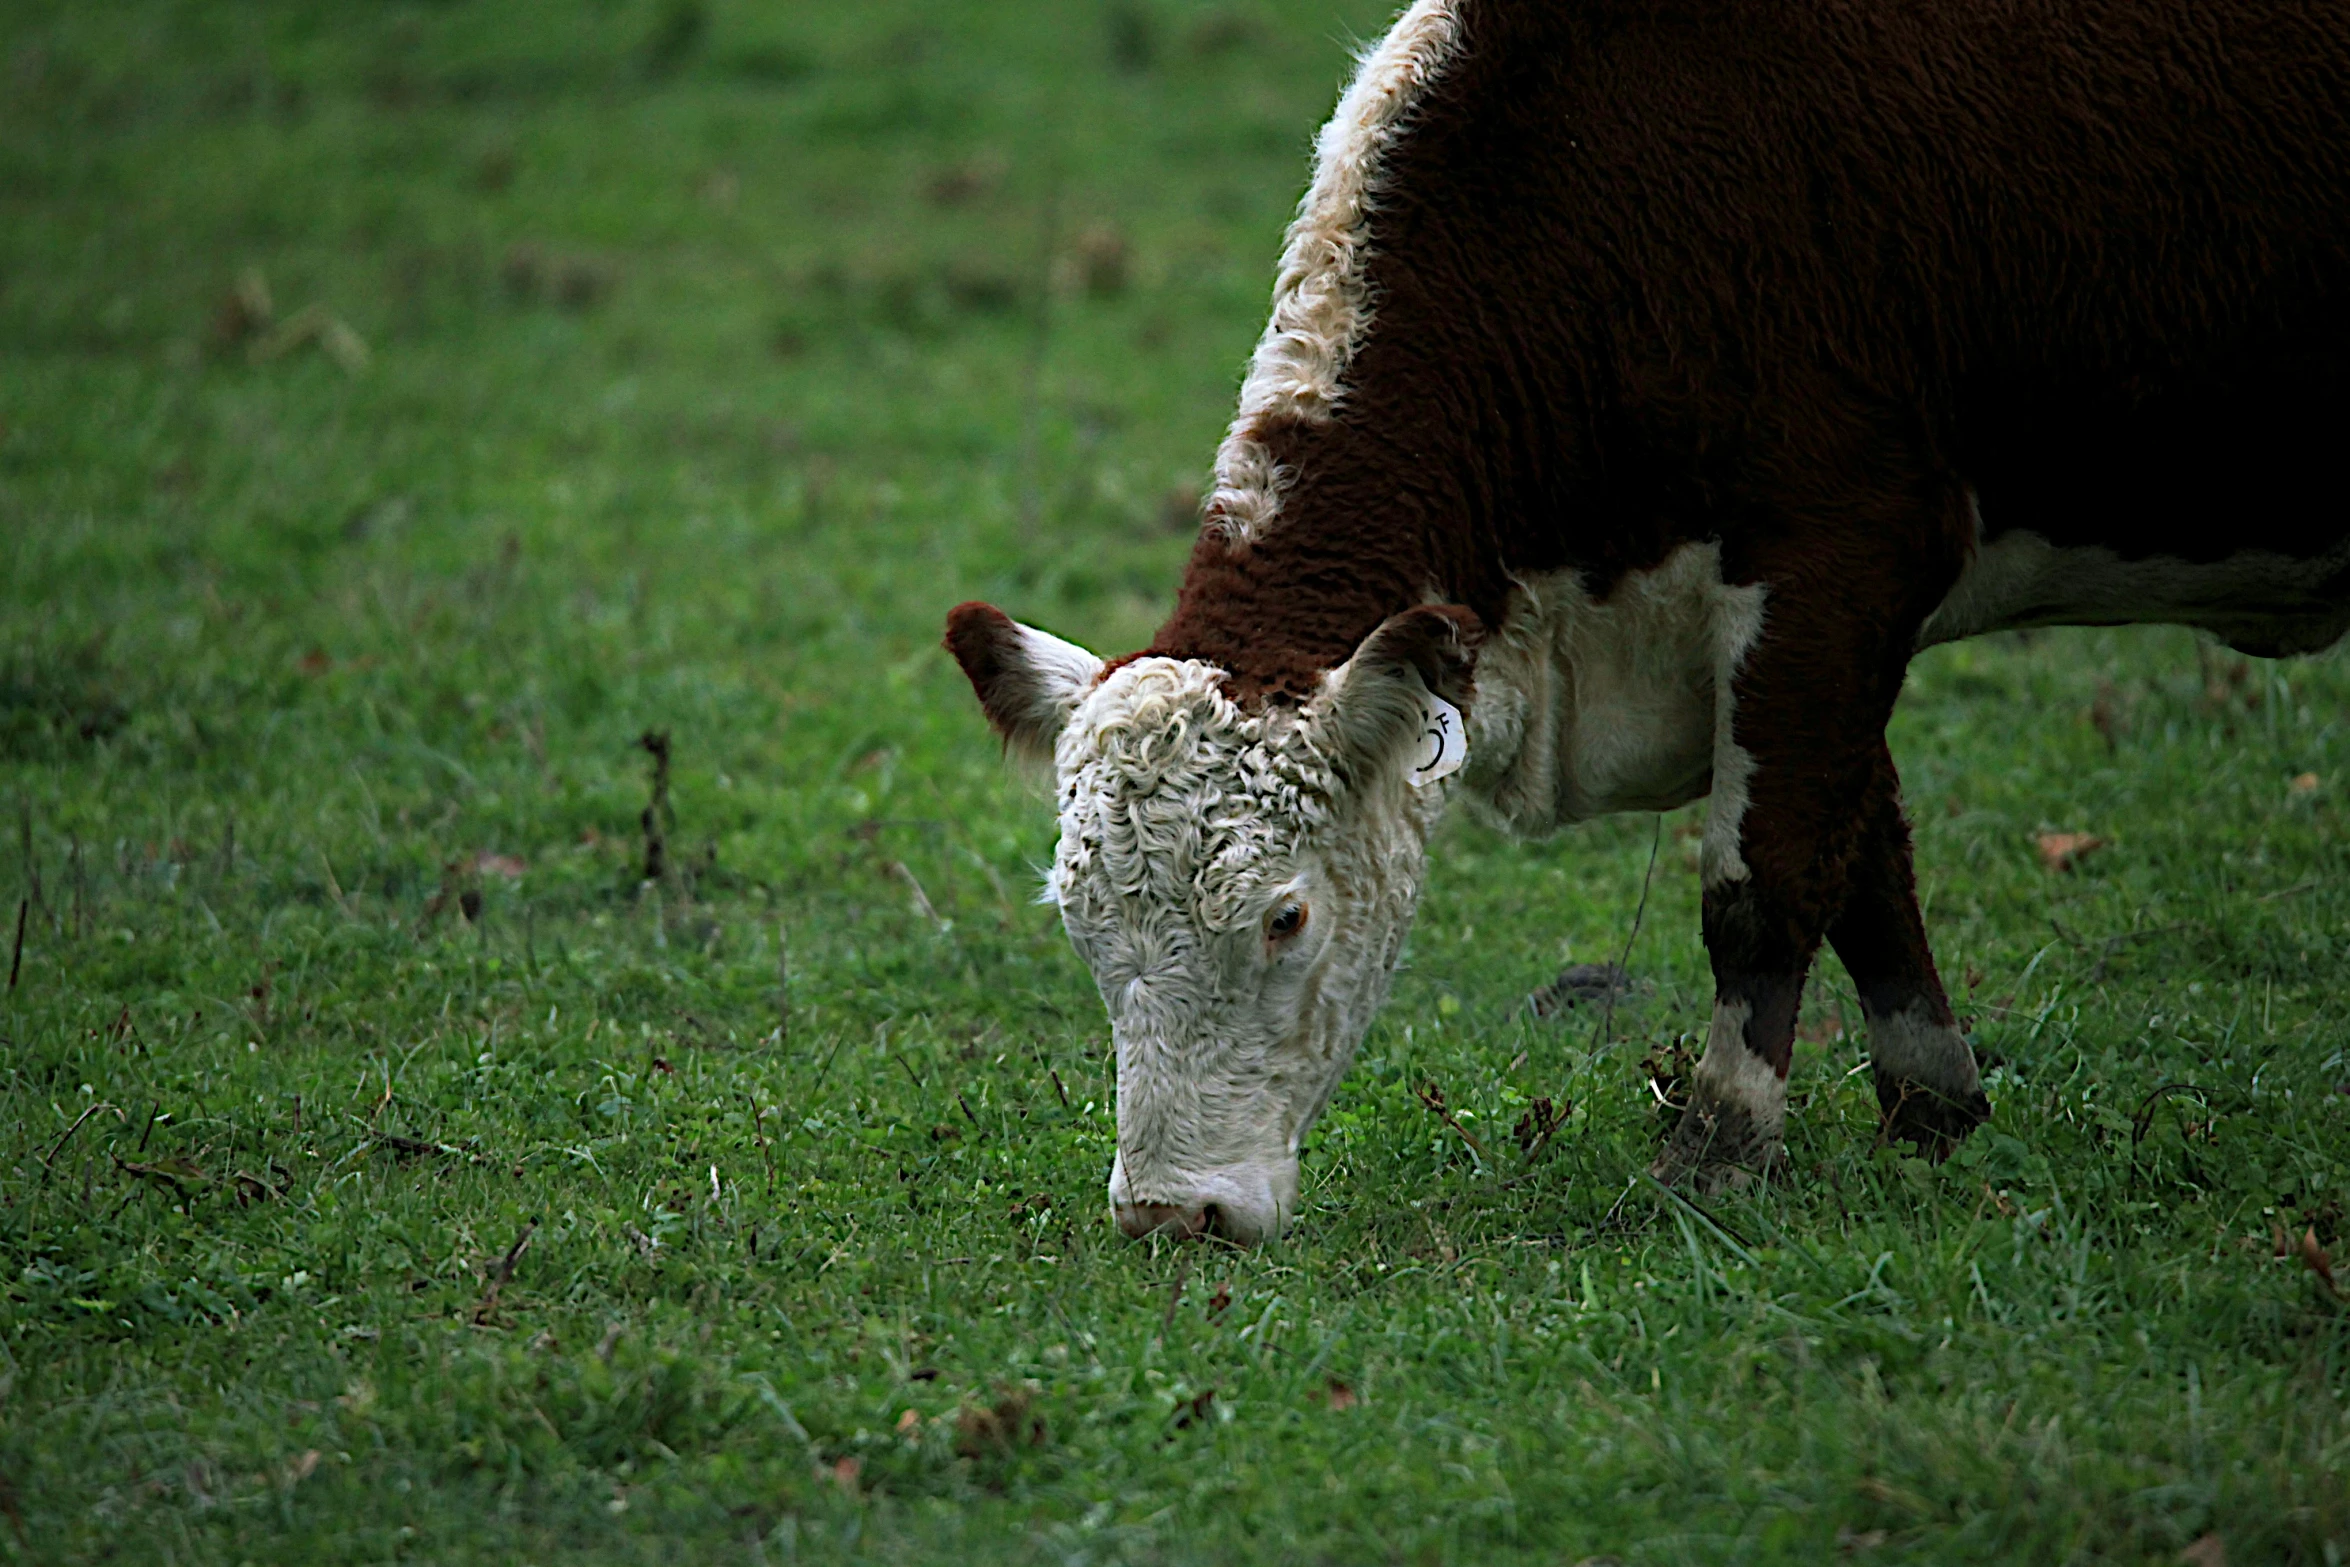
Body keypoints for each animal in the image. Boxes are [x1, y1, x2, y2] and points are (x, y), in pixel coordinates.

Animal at [944, 0, 2350, 1240]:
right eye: (1080, 921)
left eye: (1284, 916)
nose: (1169, 1212)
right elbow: (1868, 862)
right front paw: (1929, 1107)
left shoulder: (1834, 562)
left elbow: (1766, 879)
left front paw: (1719, 1150)